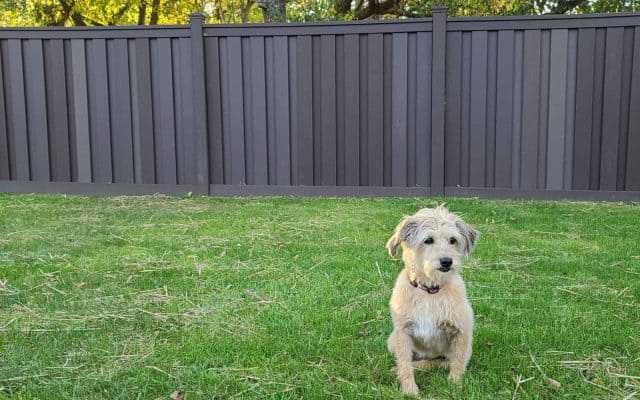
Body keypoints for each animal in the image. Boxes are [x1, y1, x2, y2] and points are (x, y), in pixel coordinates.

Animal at [382, 208, 478, 396]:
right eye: (428, 240)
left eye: (453, 240)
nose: (447, 261)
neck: (430, 291)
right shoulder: (402, 333)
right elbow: (405, 364)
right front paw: (409, 390)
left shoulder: (462, 332)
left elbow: (457, 362)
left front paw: (455, 385)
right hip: (392, 341)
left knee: (440, 362)